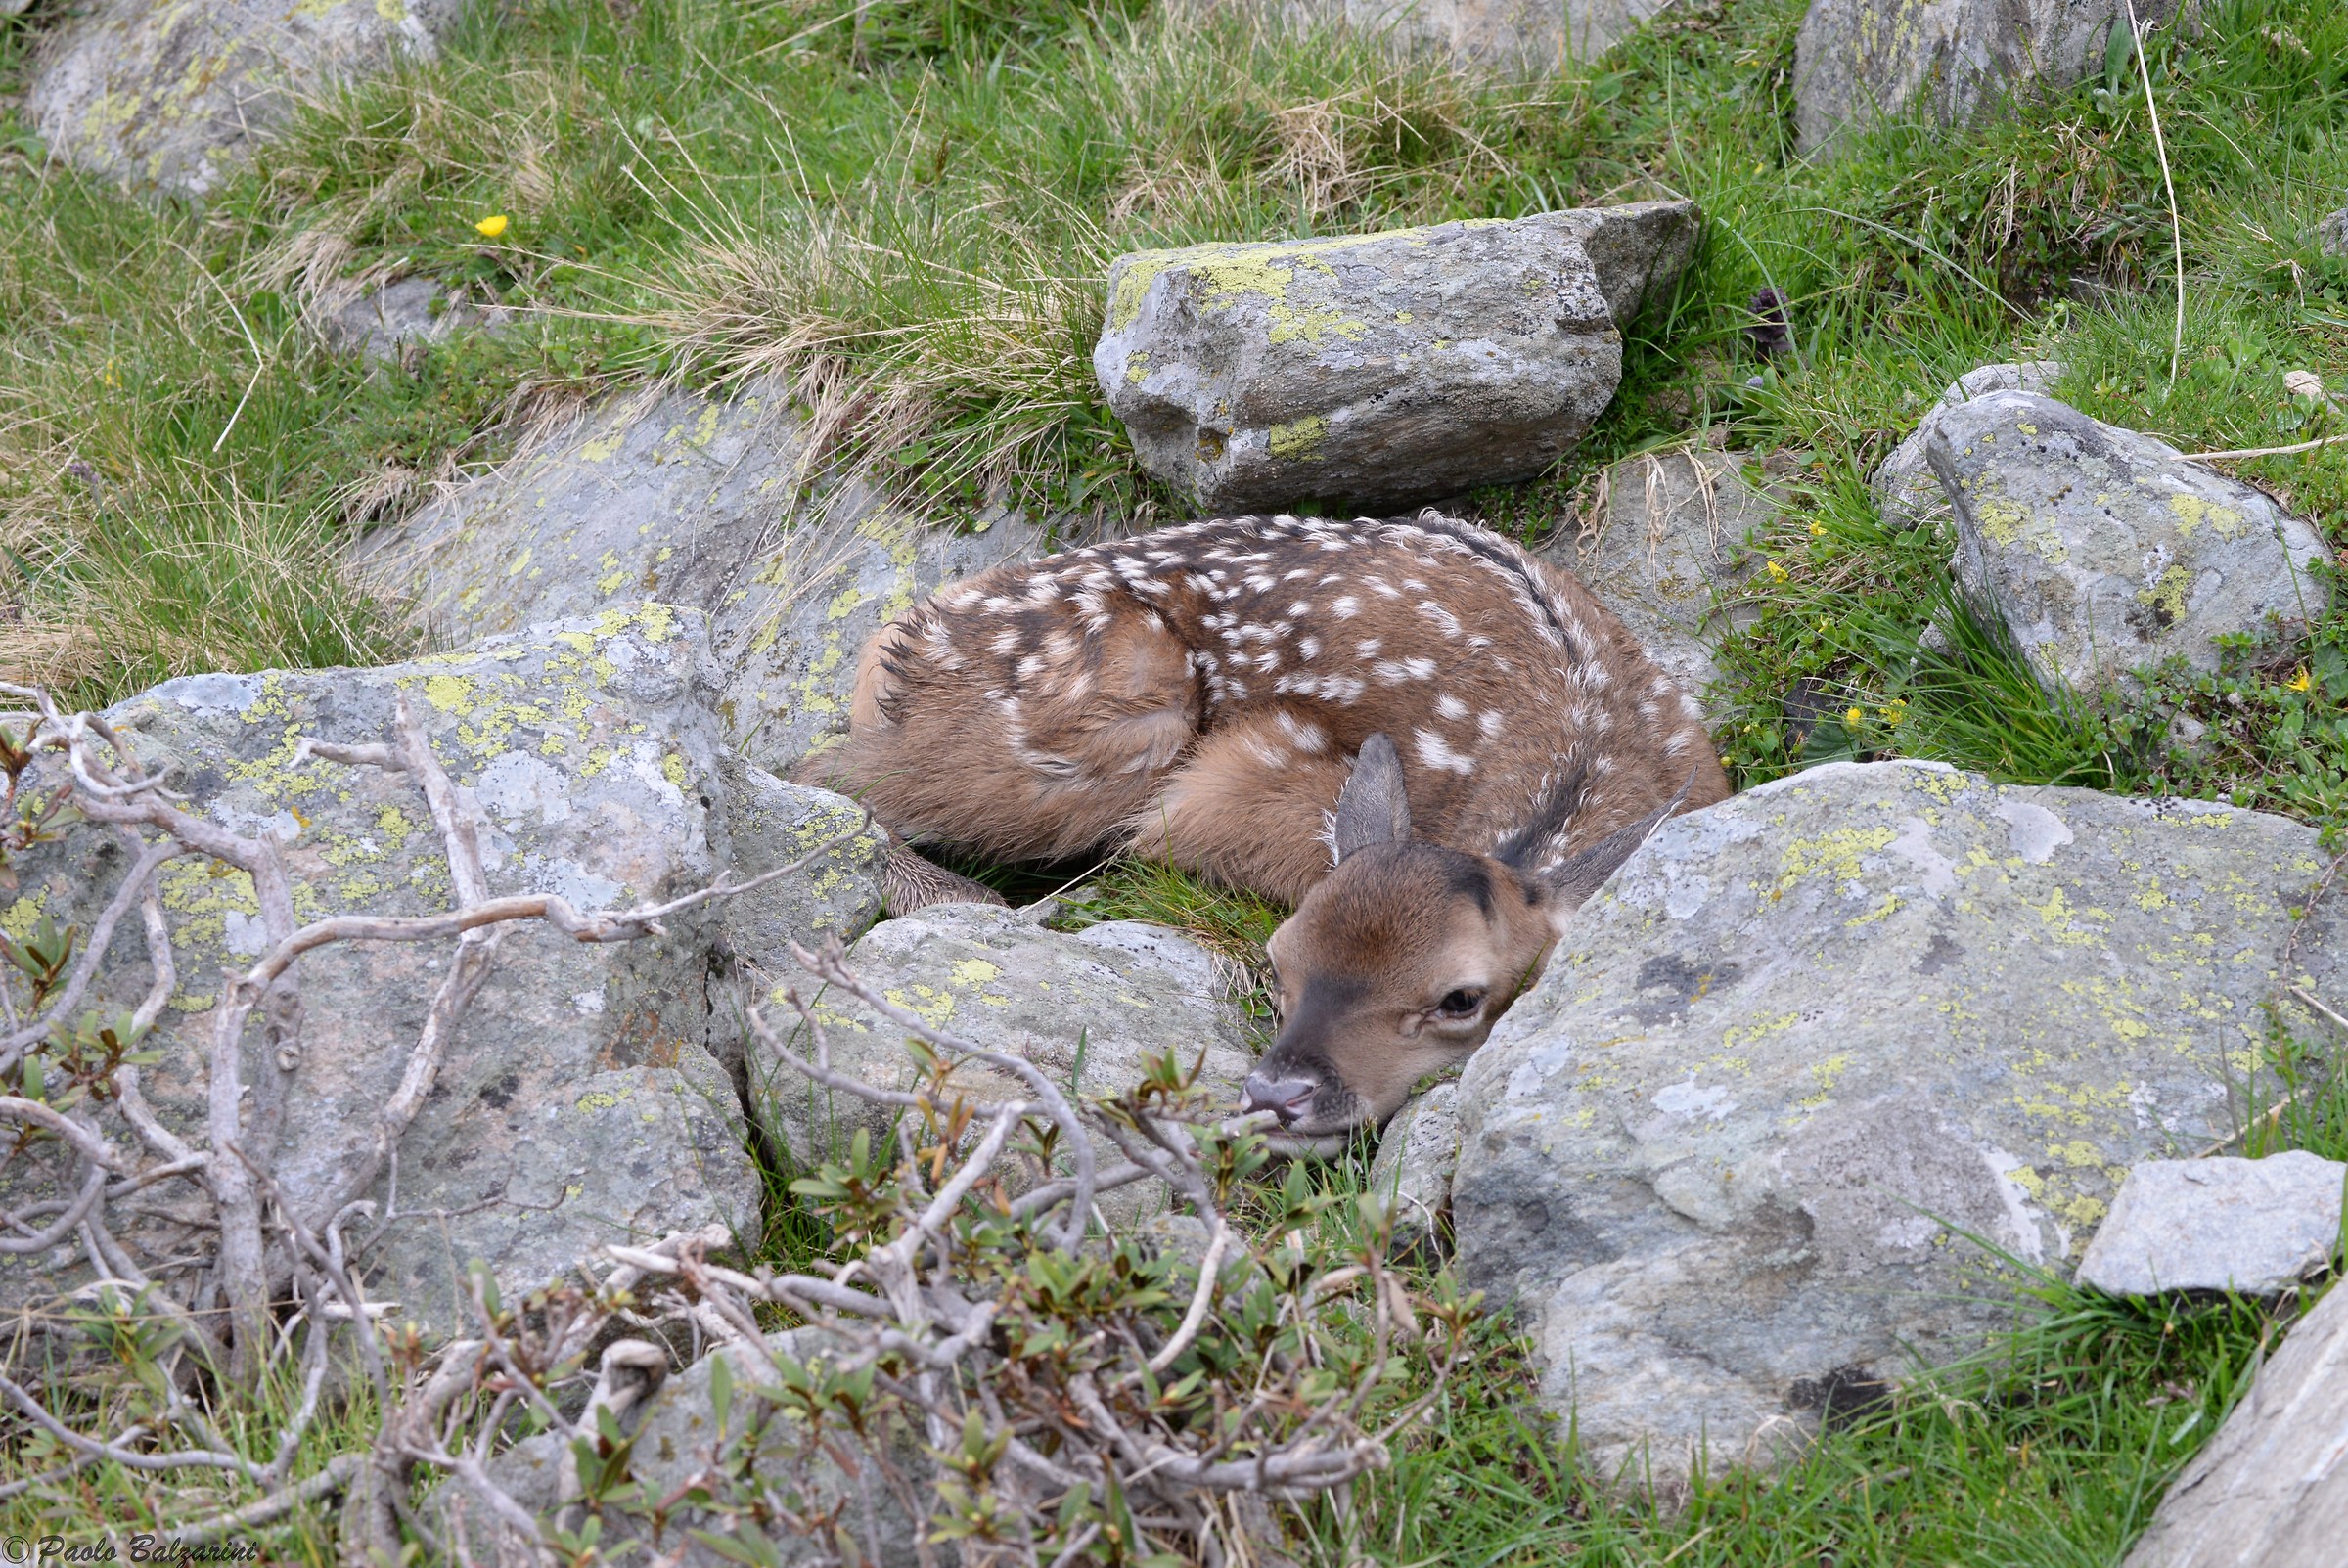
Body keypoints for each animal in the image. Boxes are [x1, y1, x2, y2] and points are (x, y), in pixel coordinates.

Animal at [799, 510, 1731, 1144]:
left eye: (1462, 997)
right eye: (1279, 955)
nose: (1278, 1095)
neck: (1586, 747)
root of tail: (903, 630)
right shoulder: (1226, 779)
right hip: (1104, 723)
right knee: (822, 775)